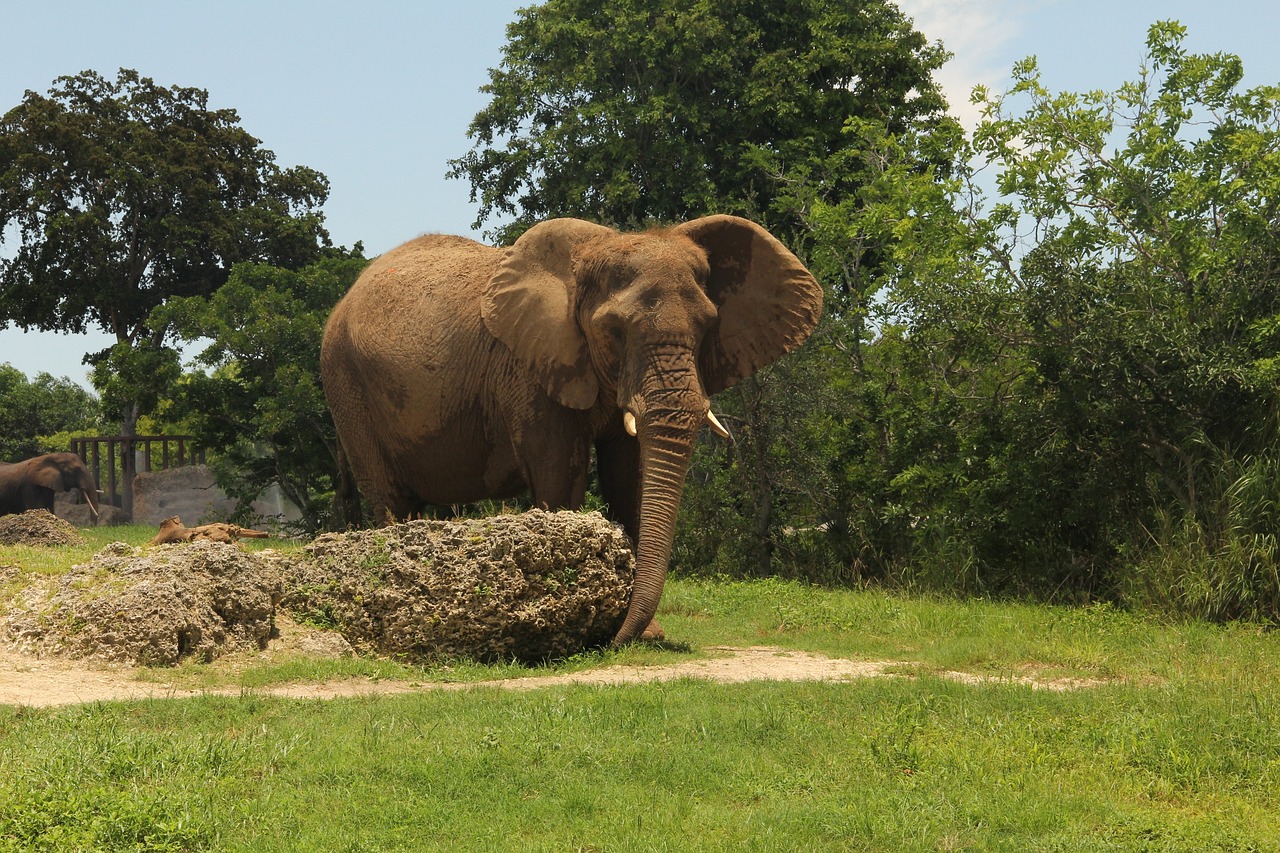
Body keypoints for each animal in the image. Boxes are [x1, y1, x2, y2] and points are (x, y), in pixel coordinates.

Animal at [320, 213, 819, 645]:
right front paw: (570, 620)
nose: (616, 642)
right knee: (390, 498)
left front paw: (642, 633)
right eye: (614, 331)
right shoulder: (529, 370)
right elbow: (560, 472)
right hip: (345, 383)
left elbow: (628, 480)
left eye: (708, 326)